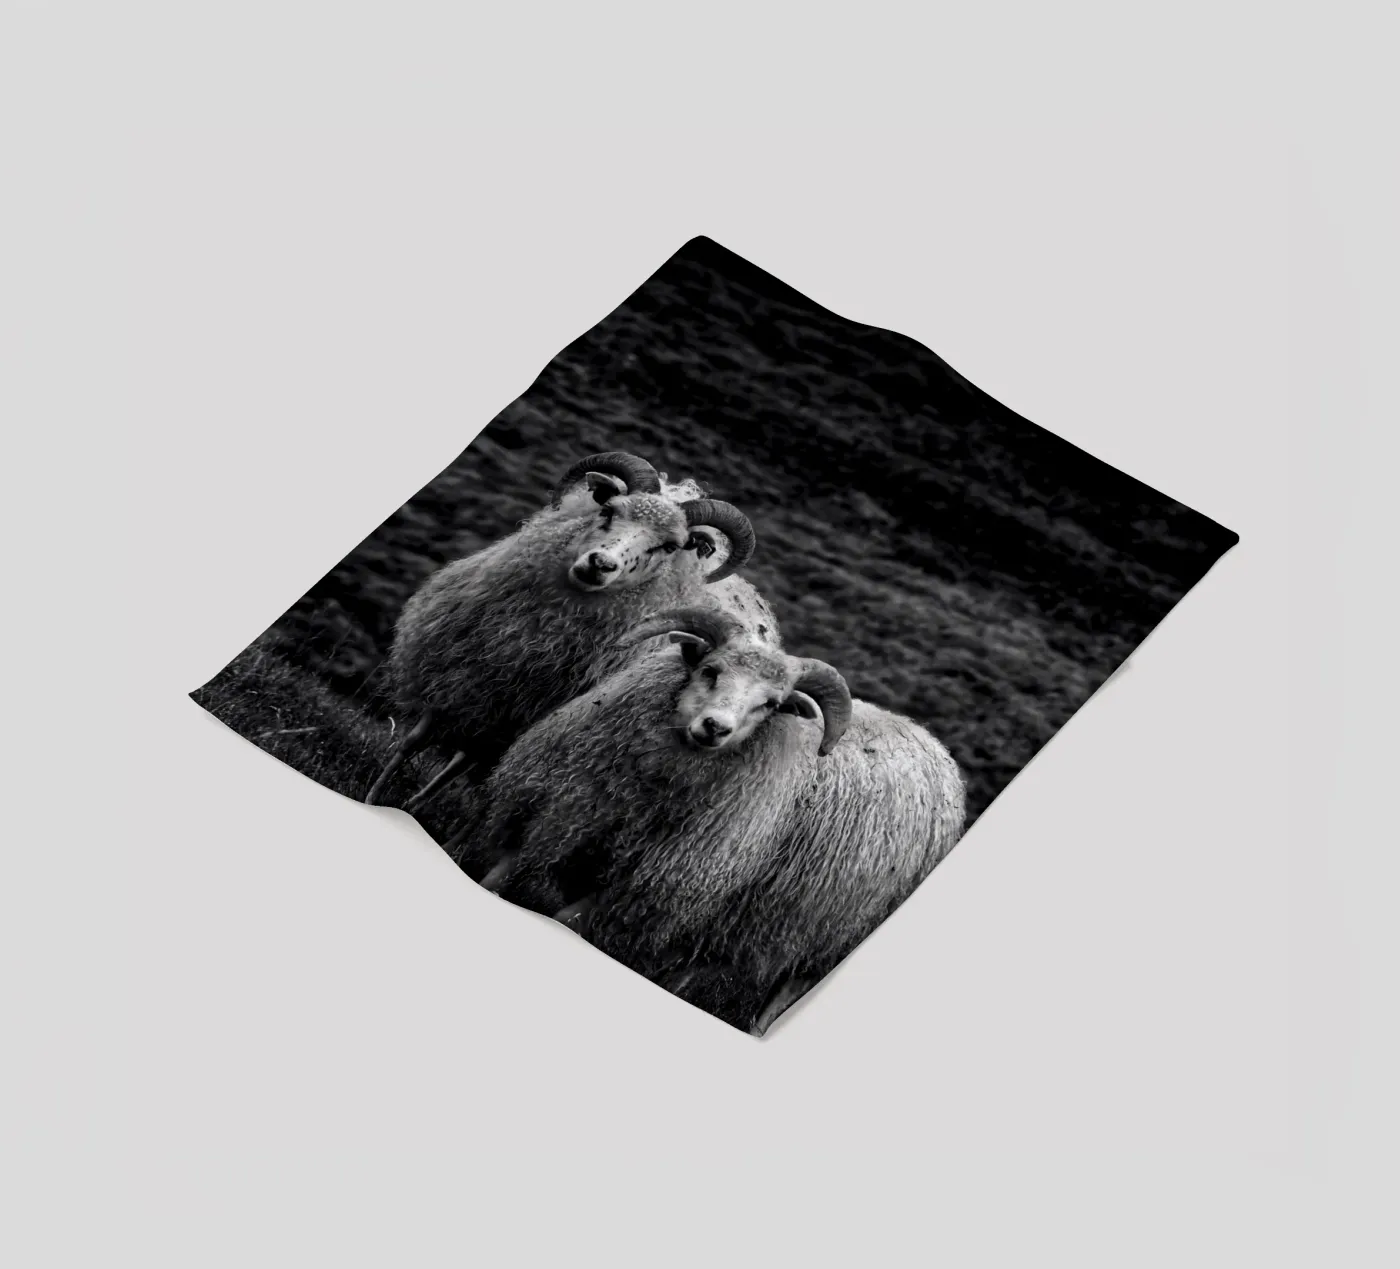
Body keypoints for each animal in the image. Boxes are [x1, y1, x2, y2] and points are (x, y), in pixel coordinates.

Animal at [364, 452, 771, 808]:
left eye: (670, 546)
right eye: (608, 511)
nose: (600, 564)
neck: (545, 629)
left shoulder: (513, 717)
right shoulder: (460, 672)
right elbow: (413, 740)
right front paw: (374, 795)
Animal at [467, 605, 965, 1035]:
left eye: (771, 705)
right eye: (711, 670)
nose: (715, 728)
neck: (641, 800)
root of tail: (937, 750)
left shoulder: (638, 894)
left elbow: (565, 918)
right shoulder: (545, 822)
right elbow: (495, 880)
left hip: (823, 945)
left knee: (775, 1003)